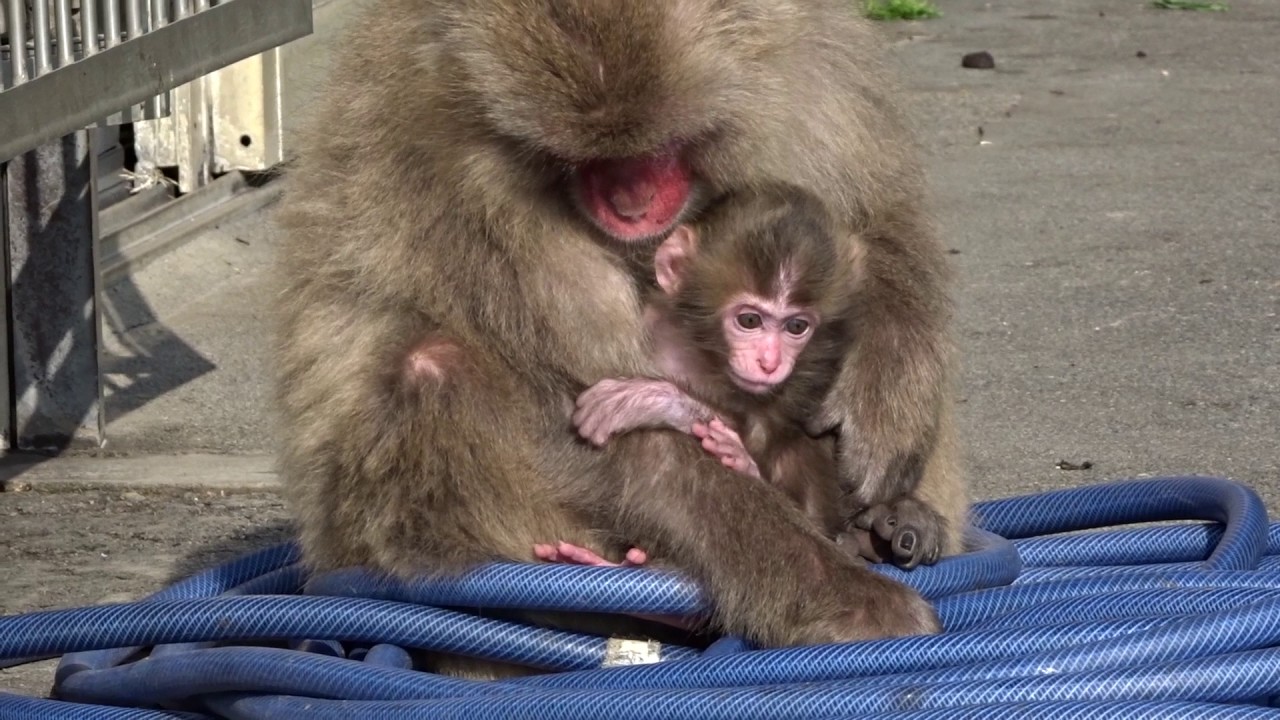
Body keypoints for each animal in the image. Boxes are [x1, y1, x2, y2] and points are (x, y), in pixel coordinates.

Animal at [274, 0, 964, 661]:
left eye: (656, 150)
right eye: (584, 160)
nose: (629, 206)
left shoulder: (813, 70)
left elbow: (875, 224)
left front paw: (884, 396)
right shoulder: (458, 190)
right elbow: (582, 408)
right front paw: (835, 590)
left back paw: (896, 522)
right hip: (373, 525)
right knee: (432, 364)